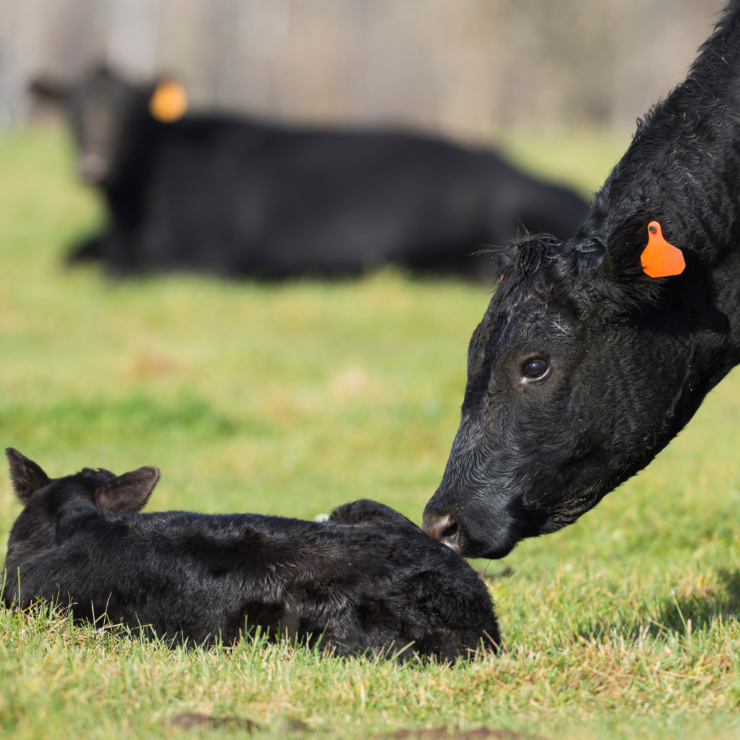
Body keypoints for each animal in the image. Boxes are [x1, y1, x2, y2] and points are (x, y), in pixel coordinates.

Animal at [28, 68, 588, 280]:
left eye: (128, 113)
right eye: (72, 111)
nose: (93, 167)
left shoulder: (210, 257)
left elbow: (121, 272)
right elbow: (74, 254)